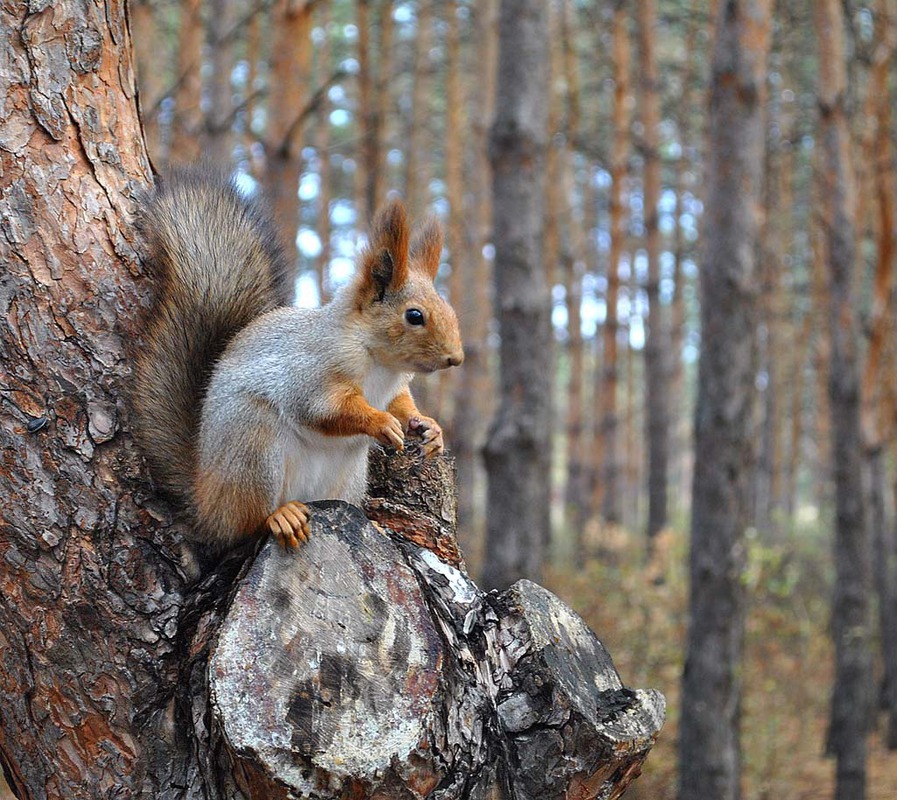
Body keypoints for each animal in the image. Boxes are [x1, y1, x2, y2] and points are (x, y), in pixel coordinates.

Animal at [136, 170, 466, 552]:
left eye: (449, 310)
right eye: (414, 316)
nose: (456, 358)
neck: (381, 363)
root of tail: (205, 501)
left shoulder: (395, 387)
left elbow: (402, 404)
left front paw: (427, 427)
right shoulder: (310, 373)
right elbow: (325, 410)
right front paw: (381, 422)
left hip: (347, 477)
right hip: (253, 446)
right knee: (246, 522)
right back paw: (280, 516)